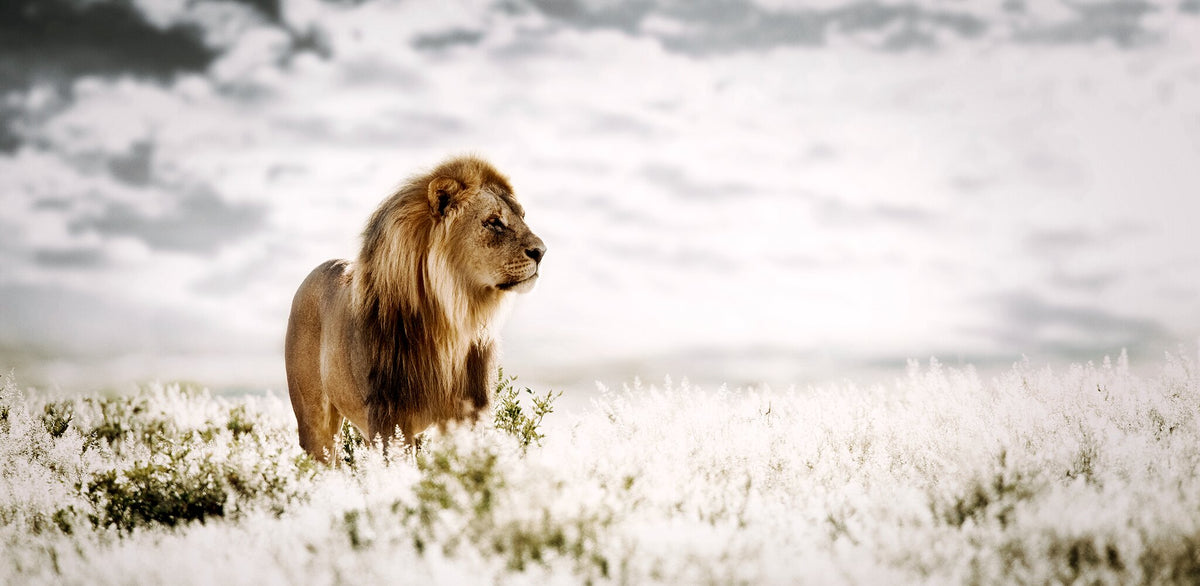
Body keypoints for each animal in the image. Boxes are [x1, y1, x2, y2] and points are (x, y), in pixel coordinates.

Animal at [284, 156, 546, 461]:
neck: (450, 320)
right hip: (315, 423)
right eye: (493, 222)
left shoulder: (468, 413)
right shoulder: (389, 415)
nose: (542, 252)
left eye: (522, 216)